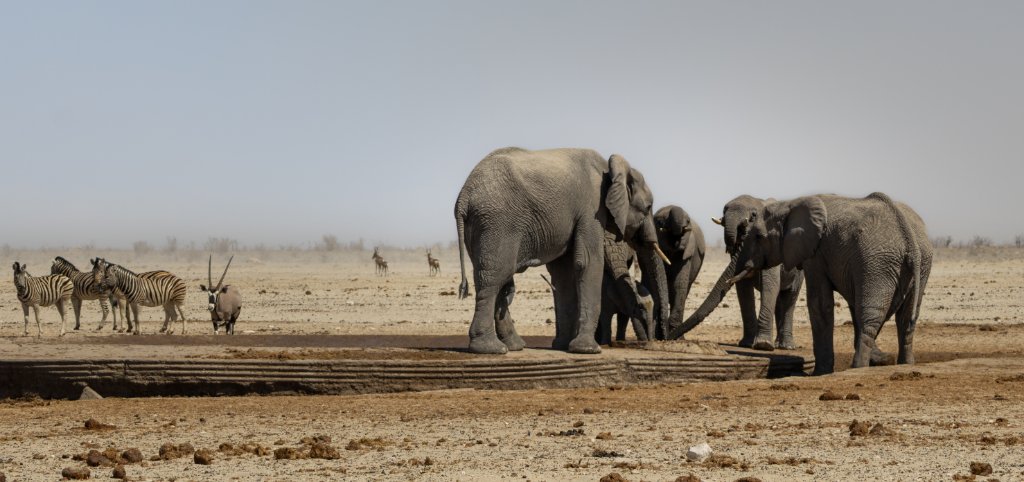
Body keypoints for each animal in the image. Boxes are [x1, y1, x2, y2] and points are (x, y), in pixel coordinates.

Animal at [455, 147, 671, 354]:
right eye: (648, 207)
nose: (654, 343)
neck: (611, 169)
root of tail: (463, 197)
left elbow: (564, 273)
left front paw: (563, 345)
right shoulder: (591, 208)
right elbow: (589, 262)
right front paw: (588, 350)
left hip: (481, 227)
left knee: (499, 279)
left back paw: (514, 346)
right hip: (498, 223)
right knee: (495, 276)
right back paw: (491, 349)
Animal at [674, 196, 802, 350]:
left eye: (753, 214)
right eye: (724, 210)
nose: (668, 336)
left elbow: (770, 285)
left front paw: (763, 345)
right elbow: (743, 288)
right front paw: (747, 344)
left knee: (790, 296)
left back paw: (786, 346)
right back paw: (778, 344)